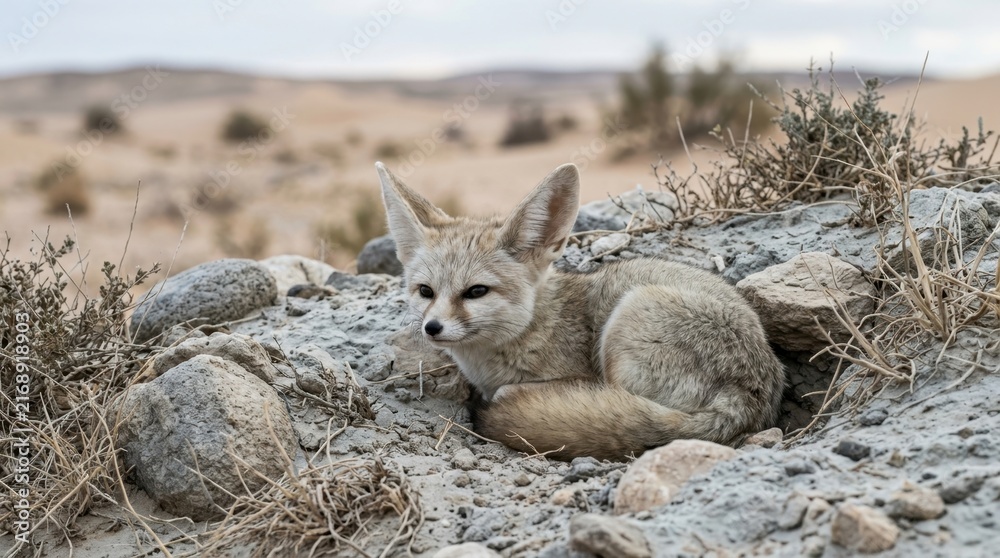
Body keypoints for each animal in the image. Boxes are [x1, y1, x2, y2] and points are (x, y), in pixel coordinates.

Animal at [376, 161, 785, 461]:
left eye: (476, 291)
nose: (432, 328)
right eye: (425, 292)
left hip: (627, 323)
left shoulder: (571, 376)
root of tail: (751, 391)